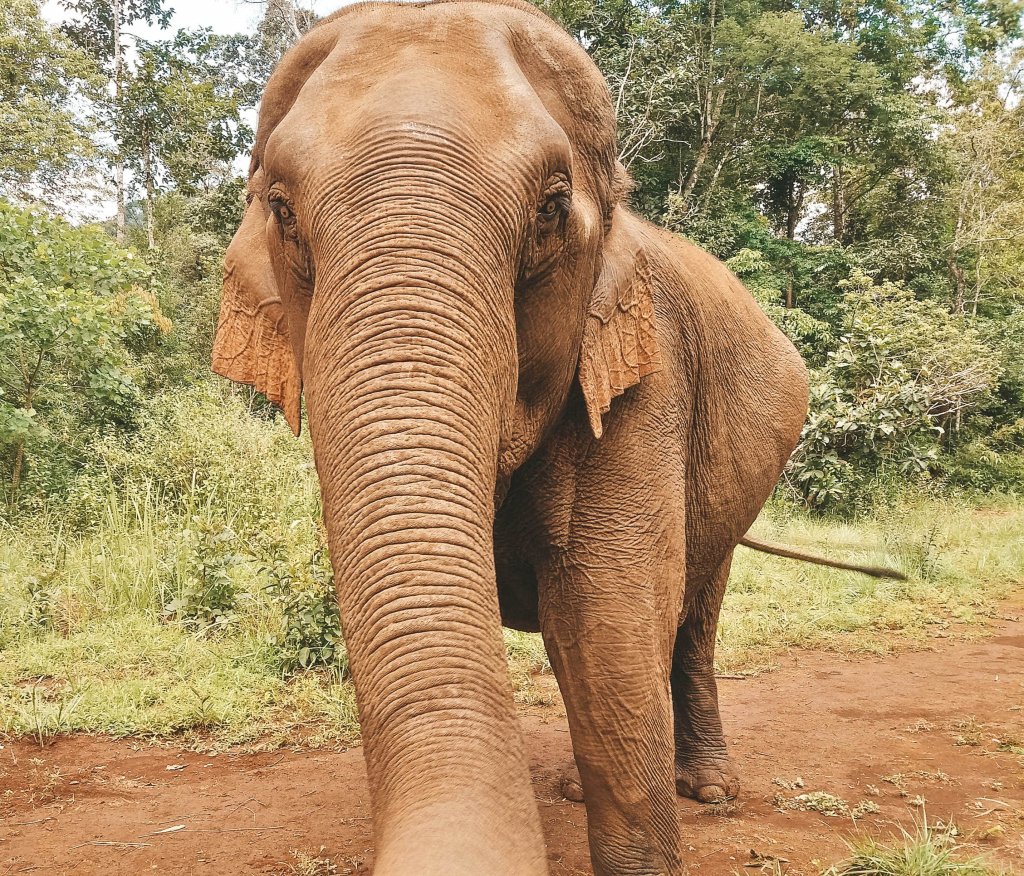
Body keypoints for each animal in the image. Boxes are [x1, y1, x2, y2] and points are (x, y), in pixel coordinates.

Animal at [211, 3, 901, 872]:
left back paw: (709, 789)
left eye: (550, 207)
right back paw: (579, 789)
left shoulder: (646, 381)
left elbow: (605, 619)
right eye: (282, 210)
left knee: (694, 615)